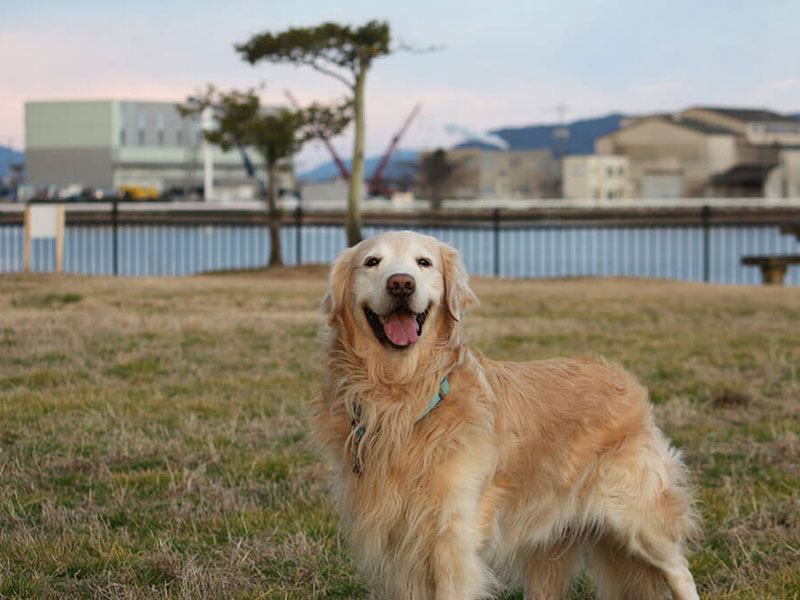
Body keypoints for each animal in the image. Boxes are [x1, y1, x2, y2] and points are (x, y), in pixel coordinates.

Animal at [312, 231, 700, 600]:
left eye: (424, 262)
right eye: (372, 262)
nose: (401, 284)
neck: (404, 398)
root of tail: (624, 379)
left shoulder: (453, 541)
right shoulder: (400, 548)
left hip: (639, 517)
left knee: (679, 570)